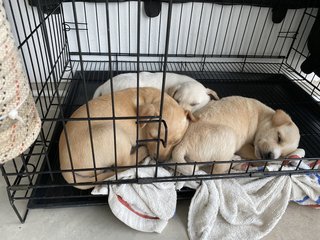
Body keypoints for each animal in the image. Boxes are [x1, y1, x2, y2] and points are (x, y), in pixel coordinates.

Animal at [59, 87, 195, 188]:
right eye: (152, 136)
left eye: (176, 141)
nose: (160, 161)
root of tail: (65, 168)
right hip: (114, 134)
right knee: (125, 164)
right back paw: (142, 151)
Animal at [171, 95, 302, 174]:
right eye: (279, 137)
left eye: (283, 155)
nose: (270, 156)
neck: (262, 116)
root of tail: (183, 144)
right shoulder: (245, 147)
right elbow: (255, 156)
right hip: (230, 136)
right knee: (217, 169)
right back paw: (238, 162)